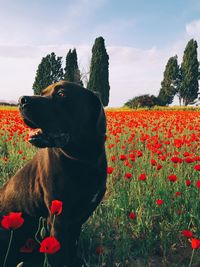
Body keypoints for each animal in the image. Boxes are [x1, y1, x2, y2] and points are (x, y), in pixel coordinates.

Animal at [0, 80, 107, 266]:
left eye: (62, 94)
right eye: (42, 93)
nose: (21, 100)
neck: (83, 159)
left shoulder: (77, 220)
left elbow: (73, 246)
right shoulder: (58, 221)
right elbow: (59, 255)